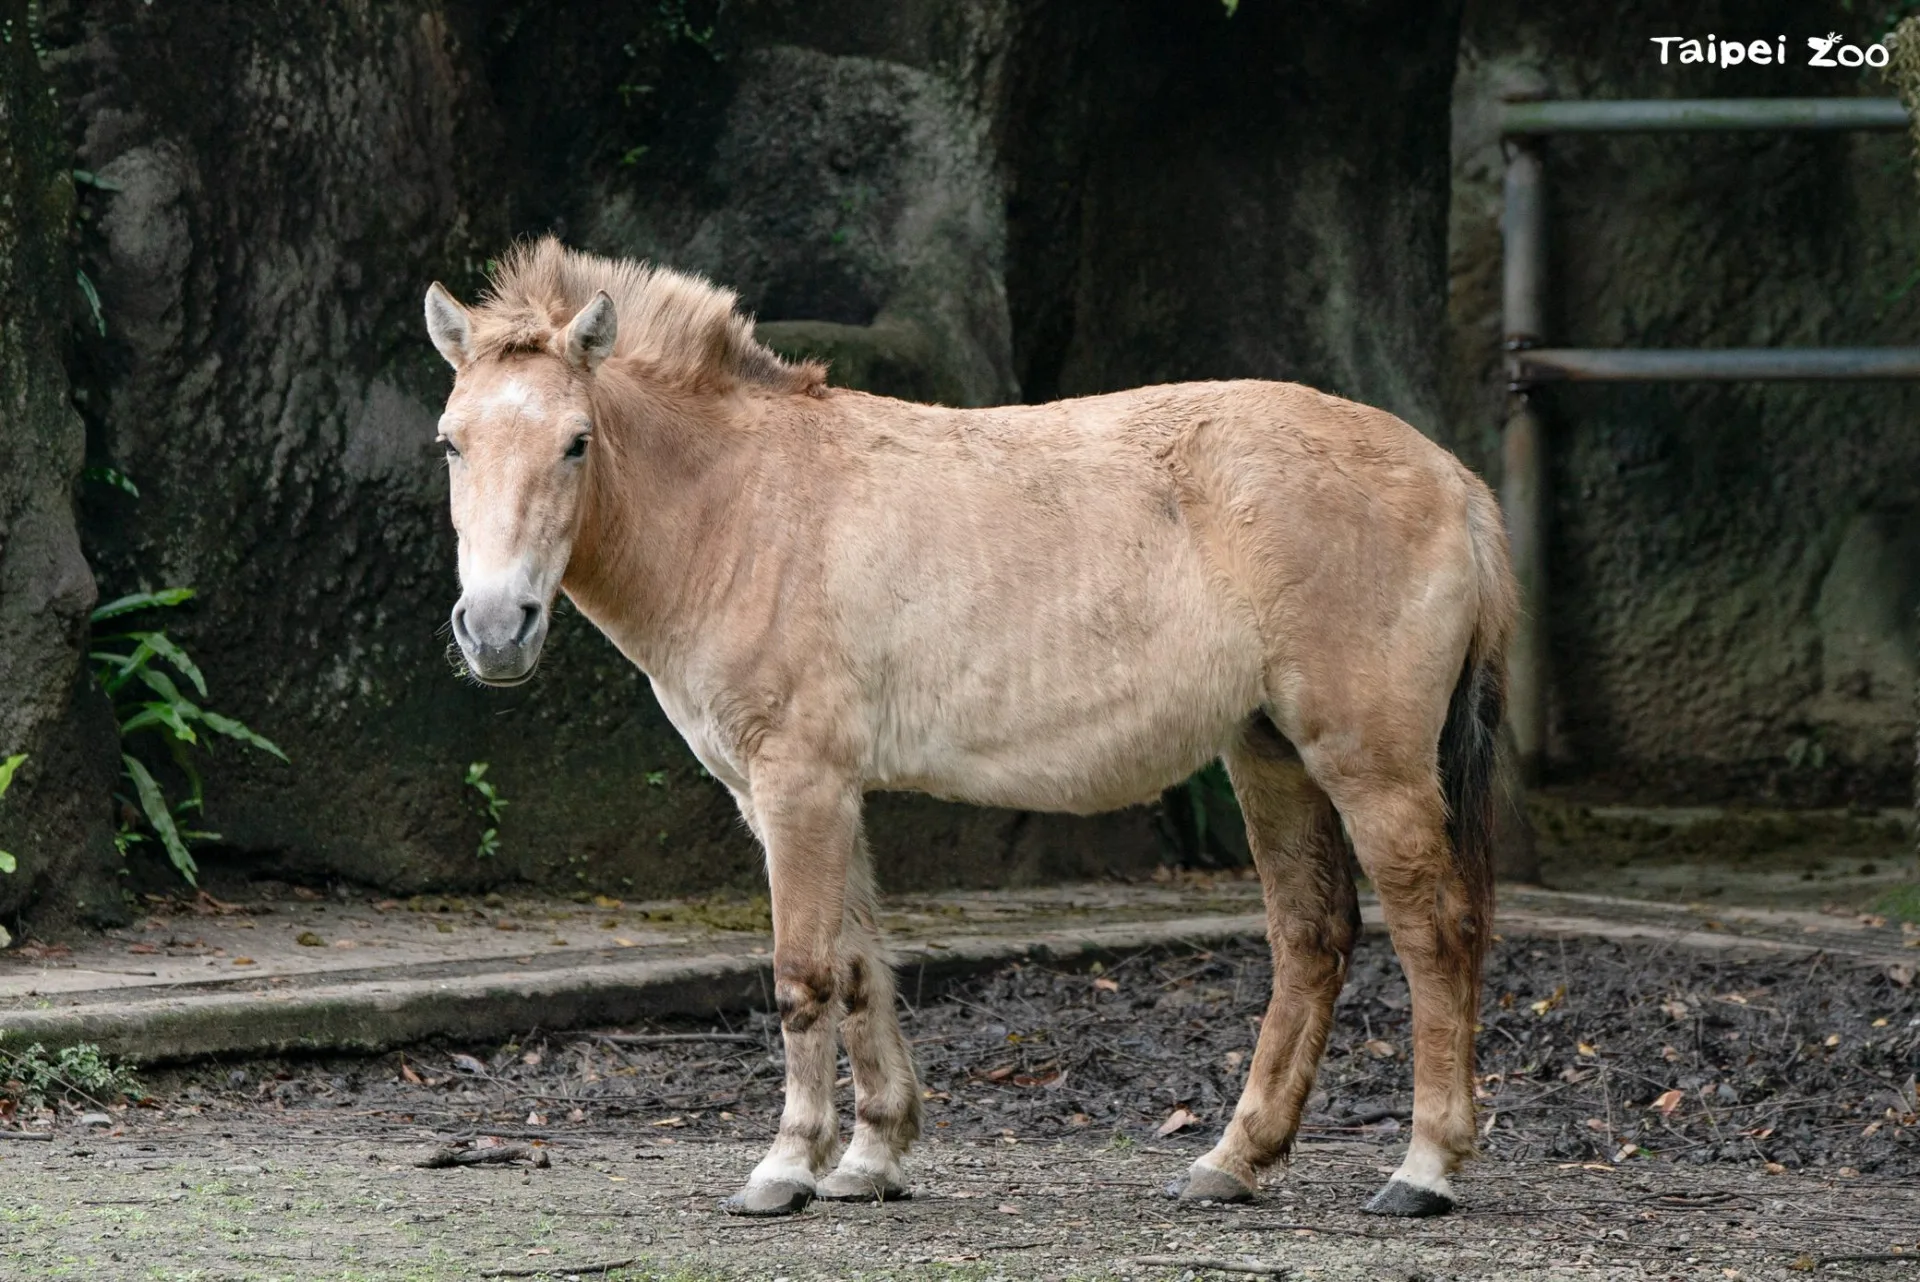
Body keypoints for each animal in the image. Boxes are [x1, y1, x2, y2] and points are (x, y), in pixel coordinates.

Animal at [421, 237, 1516, 1219]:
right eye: (451, 442)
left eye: (576, 441)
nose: (494, 629)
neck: (745, 509)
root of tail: (1453, 478)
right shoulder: (814, 796)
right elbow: (861, 968)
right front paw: (871, 1161)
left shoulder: (798, 785)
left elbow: (803, 975)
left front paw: (784, 1169)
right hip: (1270, 757)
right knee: (1311, 940)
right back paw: (1232, 1162)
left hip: (1371, 766)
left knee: (1436, 934)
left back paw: (1424, 1170)